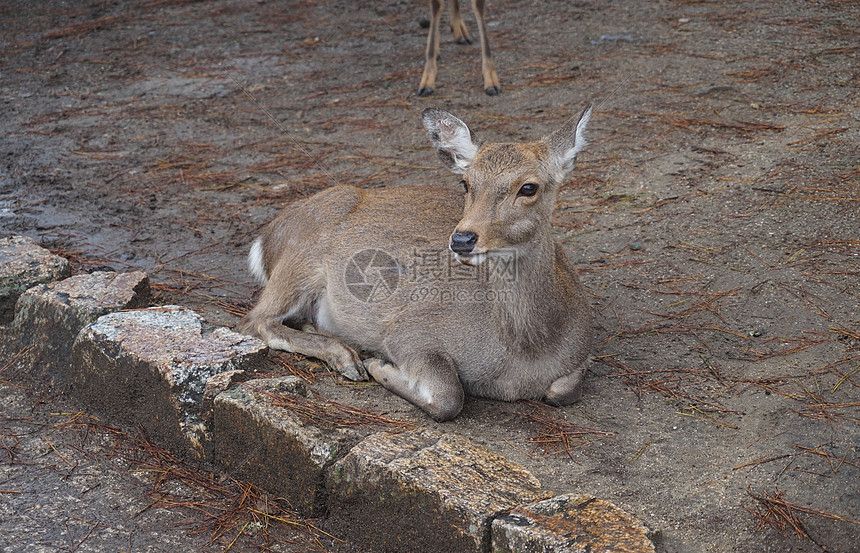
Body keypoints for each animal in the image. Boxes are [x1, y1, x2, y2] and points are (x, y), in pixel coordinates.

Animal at [239, 105, 596, 420]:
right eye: (466, 182)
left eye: (529, 187)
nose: (462, 239)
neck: (525, 356)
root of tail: (268, 237)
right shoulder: (410, 329)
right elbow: (449, 397)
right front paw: (379, 365)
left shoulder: (581, 354)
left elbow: (562, 391)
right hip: (299, 260)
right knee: (256, 320)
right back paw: (347, 357)